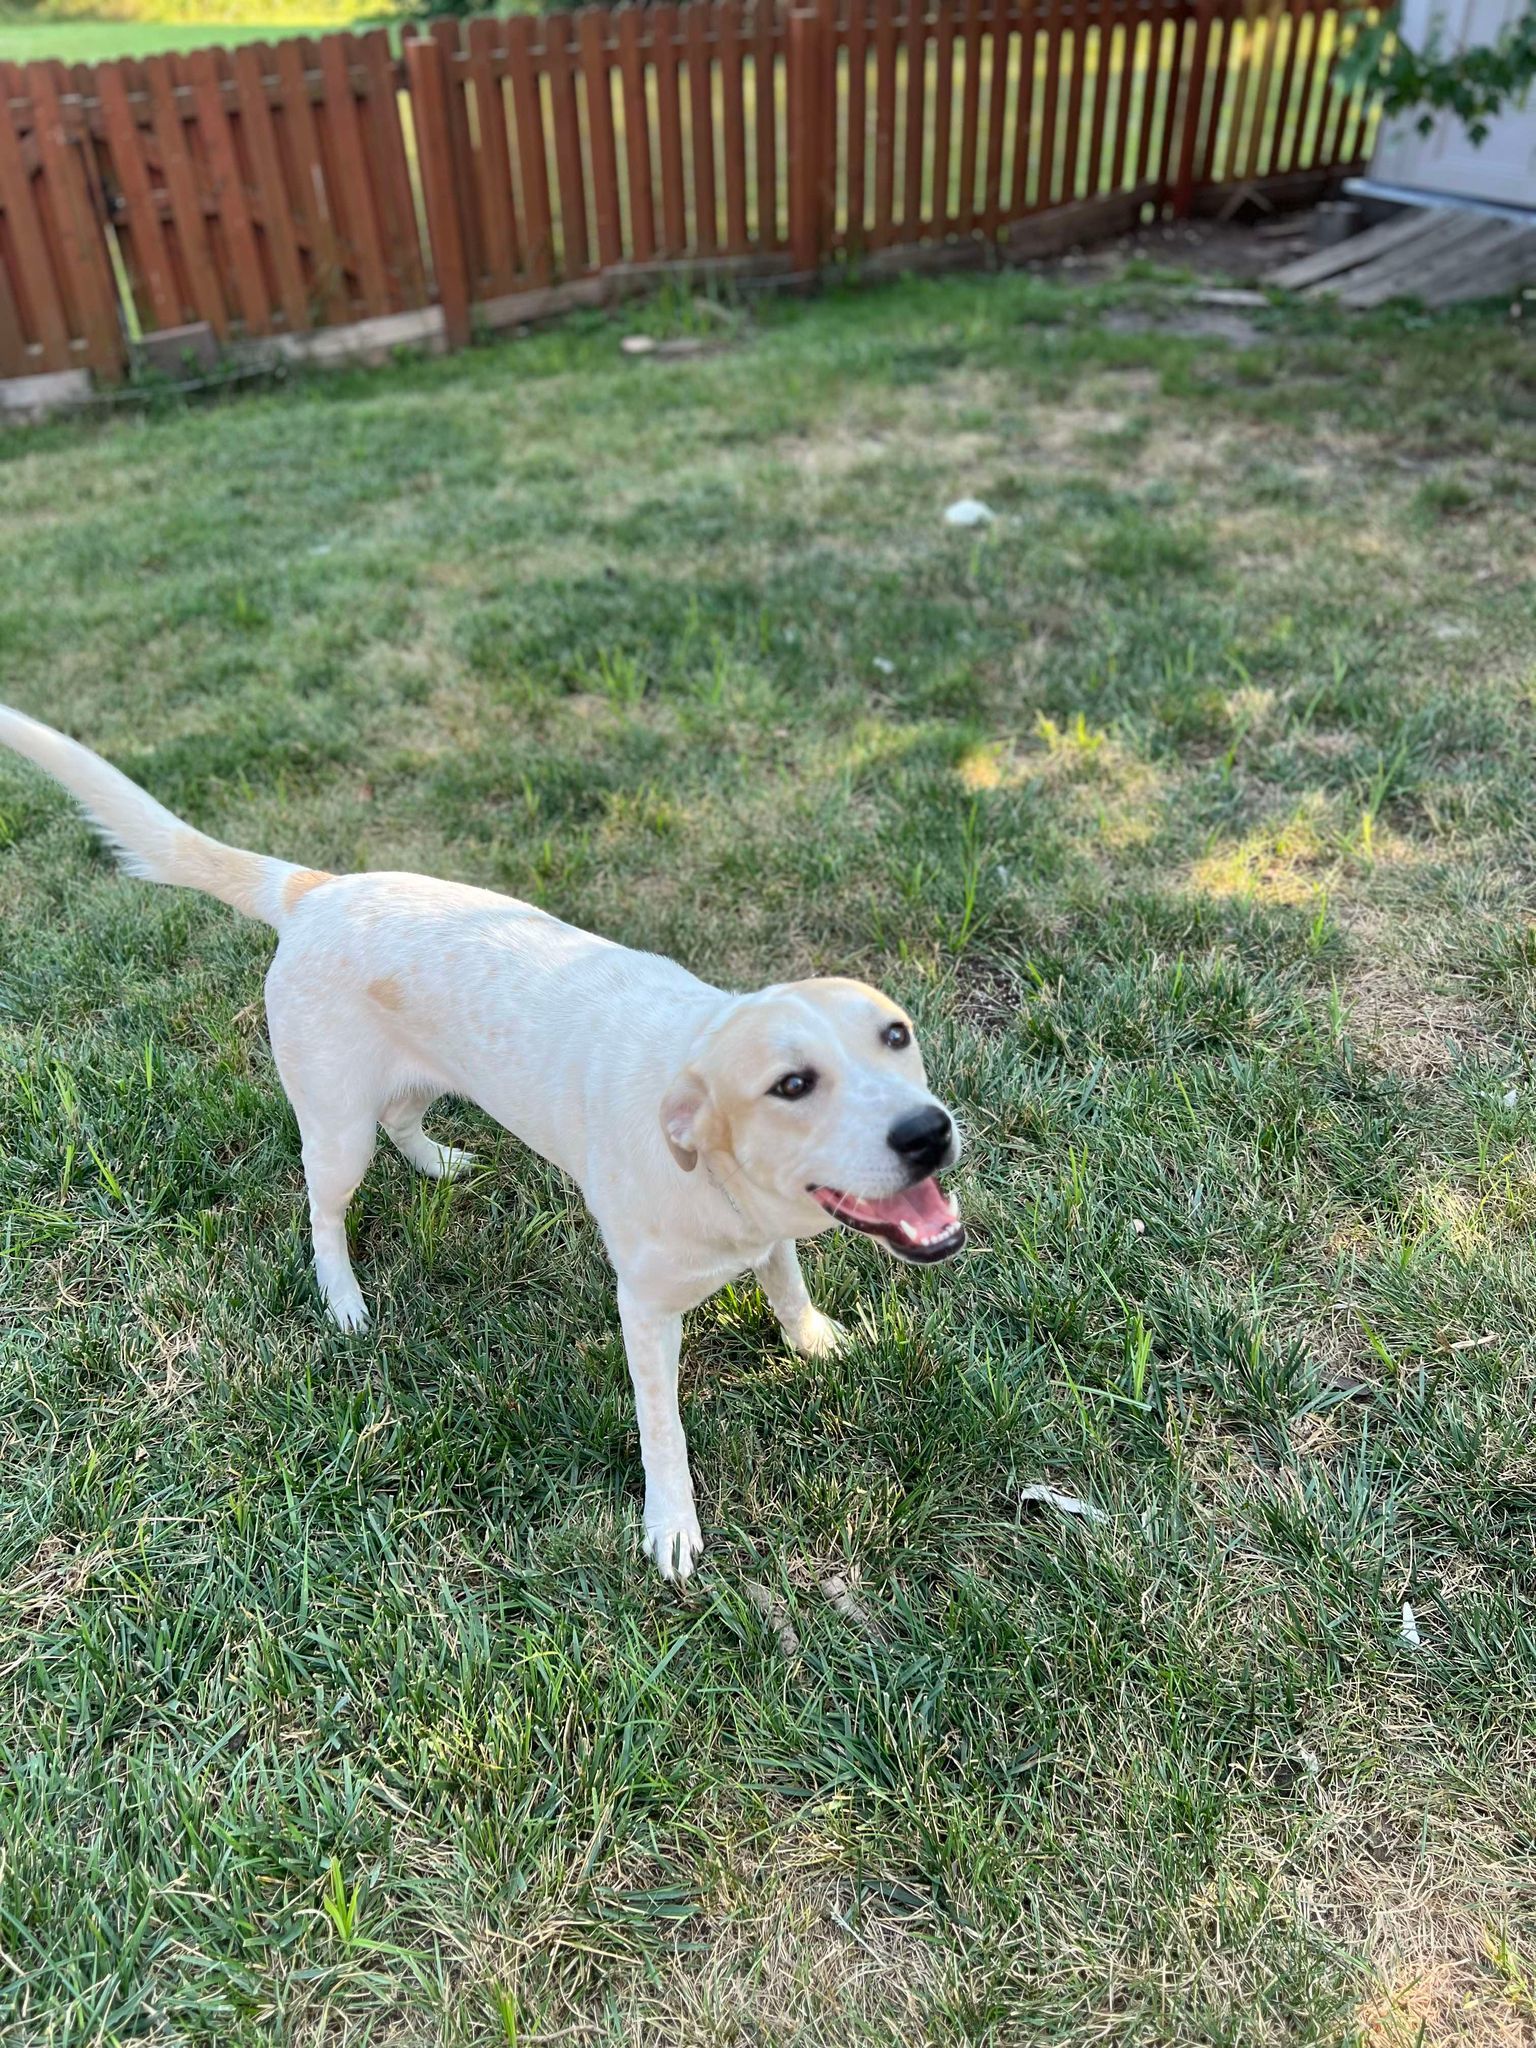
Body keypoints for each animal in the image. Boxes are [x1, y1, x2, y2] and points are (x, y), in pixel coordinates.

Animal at [0, 712, 966, 1572]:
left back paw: (439, 1163)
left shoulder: (770, 1236)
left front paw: (813, 1338)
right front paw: (671, 1525)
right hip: (336, 1132)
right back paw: (343, 1298)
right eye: (791, 1085)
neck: (715, 1170)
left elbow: (787, 1283)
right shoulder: (646, 1314)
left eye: (897, 1034)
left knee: (405, 1120)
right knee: (324, 1209)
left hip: (426, 1077)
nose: (929, 1132)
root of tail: (314, 888)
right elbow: (664, 1430)